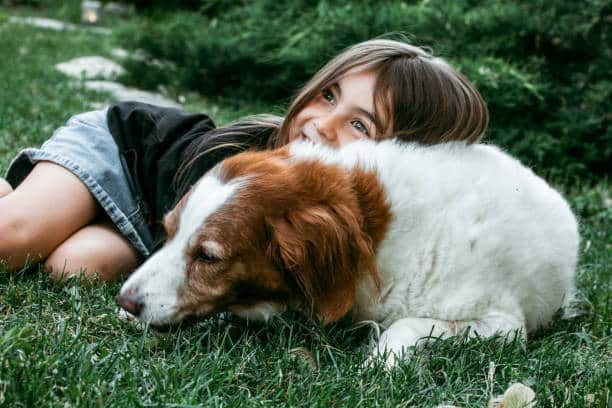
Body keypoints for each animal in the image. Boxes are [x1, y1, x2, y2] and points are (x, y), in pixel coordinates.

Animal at [116, 140, 580, 366]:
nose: (125, 300)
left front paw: (380, 362)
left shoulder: (503, 324)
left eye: (208, 256)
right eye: (169, 231)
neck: (370, 231)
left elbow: (406, 325)